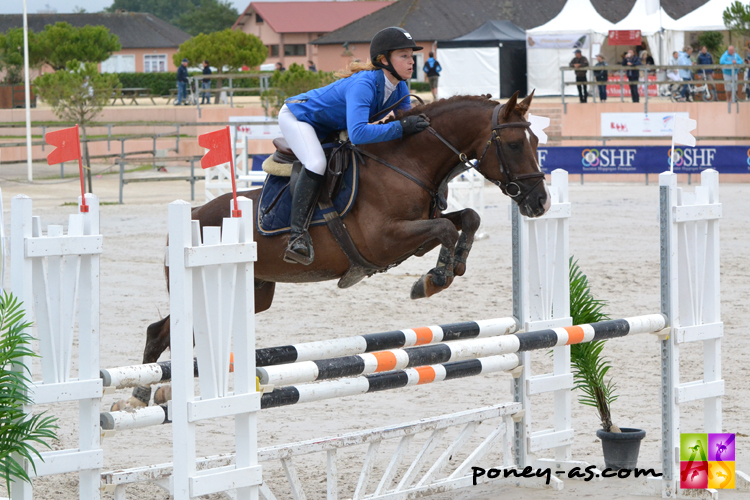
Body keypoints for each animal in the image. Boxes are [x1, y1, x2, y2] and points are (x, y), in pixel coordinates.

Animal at [125, 91, 552, 406]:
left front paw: (450, 269)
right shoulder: (384, 240)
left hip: (254, 293)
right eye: (515, 144)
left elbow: (468, 219)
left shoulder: (412, 238)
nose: (540, 203)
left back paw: (152, 391)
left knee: (171, 333)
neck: (407, 161)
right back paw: (138, 393)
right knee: (159, 332)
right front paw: (433, 280)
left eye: (536, 141)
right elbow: (448, 227)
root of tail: (193, 215)